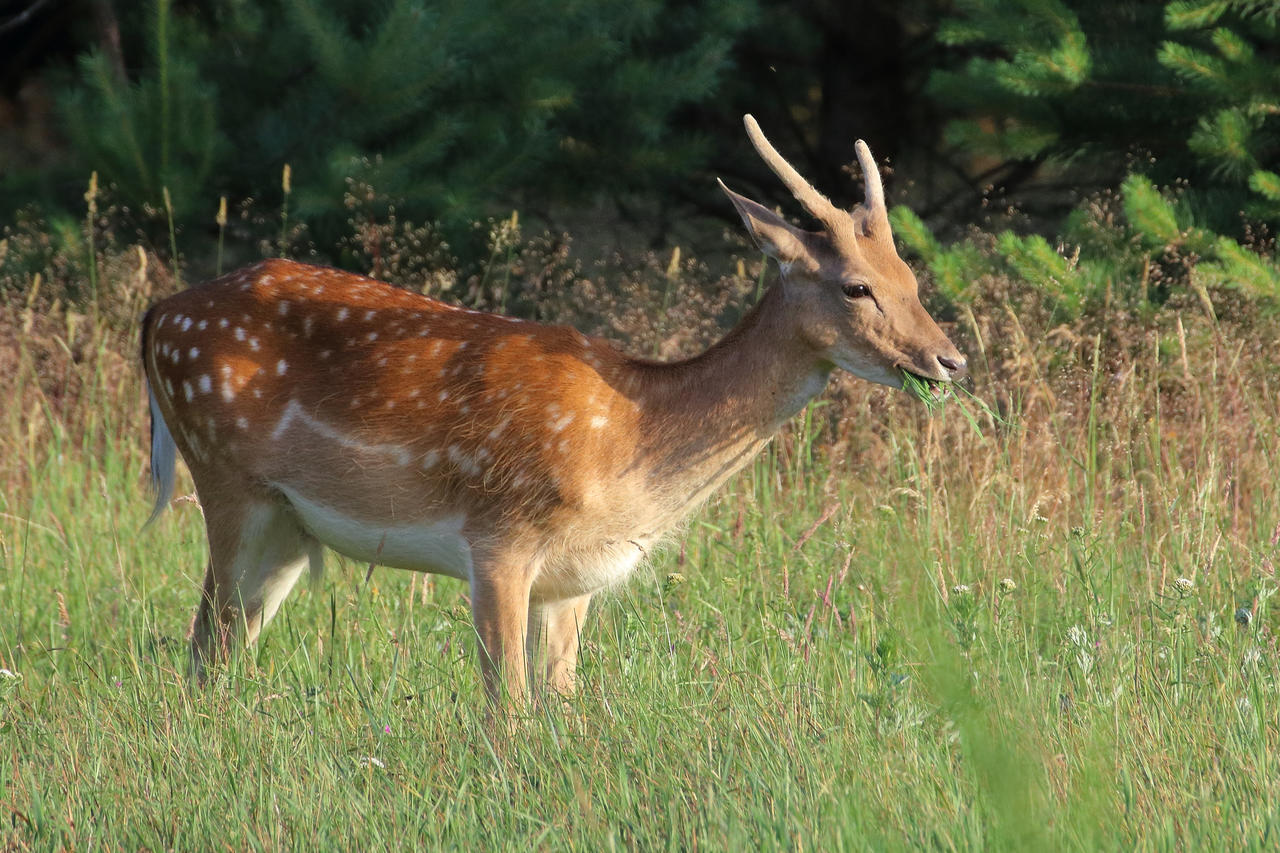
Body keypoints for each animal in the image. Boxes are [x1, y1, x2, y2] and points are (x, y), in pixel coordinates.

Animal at [140, 117, 962, 701]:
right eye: (857, 286)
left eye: (910, 275)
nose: (949, 359)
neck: (632, 439)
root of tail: (158, 316)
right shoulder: (499, 538)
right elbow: (506, 707)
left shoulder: (576, 581)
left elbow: (561, 702)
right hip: (226, 479)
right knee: (202, 642)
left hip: (287, 525)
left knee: (222, 649)